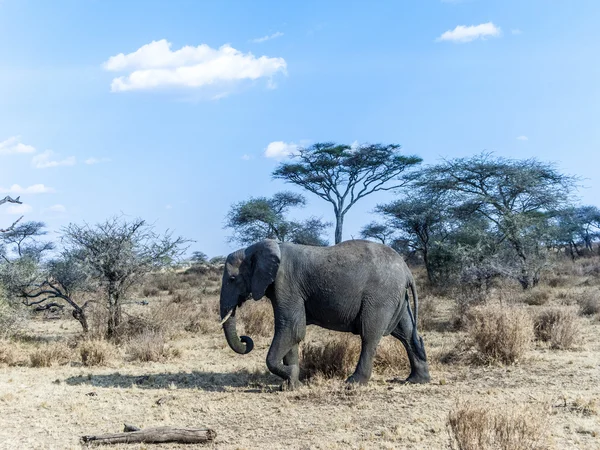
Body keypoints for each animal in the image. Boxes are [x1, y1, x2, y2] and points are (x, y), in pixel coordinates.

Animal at [220, 237, 432, 388]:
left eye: (232, 279)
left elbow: (291, 328)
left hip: (380, 296)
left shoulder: (286, 283)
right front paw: (292, 384)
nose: (245, 339)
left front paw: (292, 376)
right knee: (407, 334)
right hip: (395, 296)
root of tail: (407, 270)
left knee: (370, 336)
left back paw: (353, 383)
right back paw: (416, 380)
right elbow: (292, 332)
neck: (260, 248)